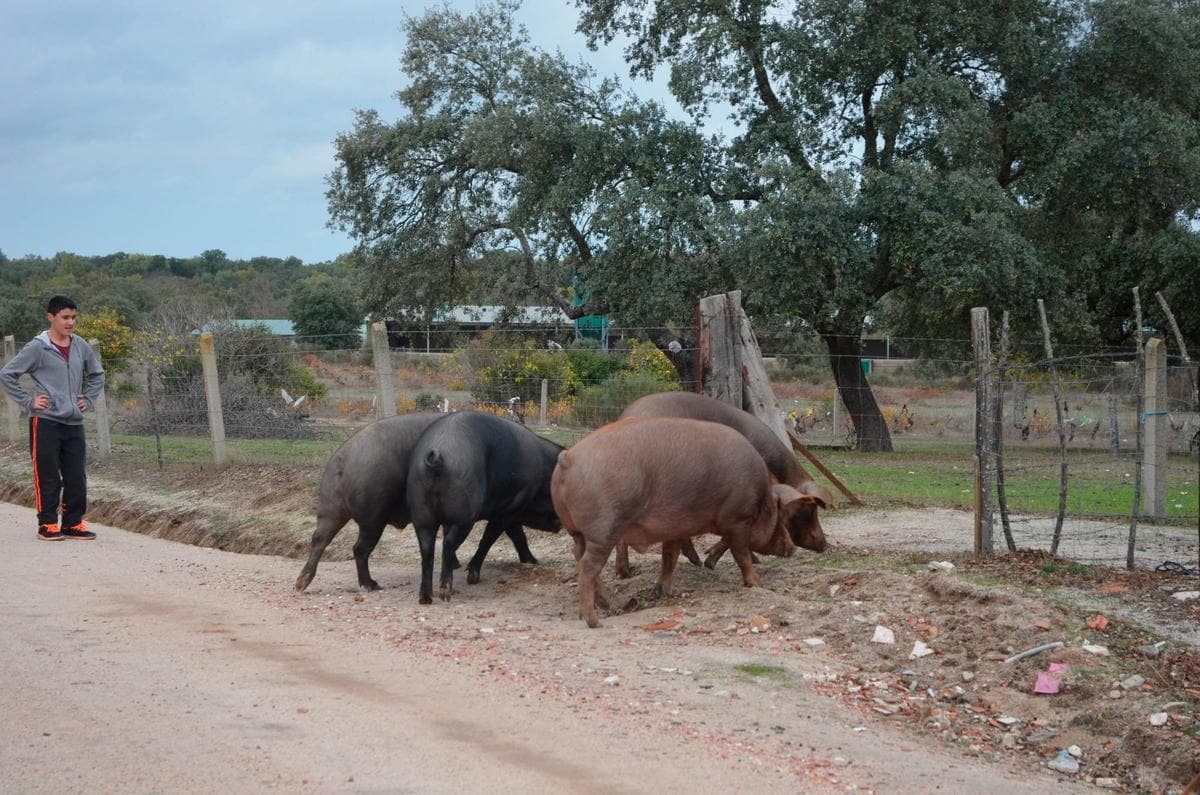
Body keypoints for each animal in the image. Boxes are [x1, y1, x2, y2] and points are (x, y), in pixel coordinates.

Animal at [549, 417, 816, 629]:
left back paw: (609, 606)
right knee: (587, 567)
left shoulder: (676, 529)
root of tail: (568, 459)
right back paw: (594, 621)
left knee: (580, 558)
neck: (760, 499)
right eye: (780, 517)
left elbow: (670, 557)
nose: (792, 548)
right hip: (603, 530)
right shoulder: (739, 519)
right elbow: (741, 554)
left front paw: (665, 591)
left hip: (578, 532)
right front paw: (756, 584)